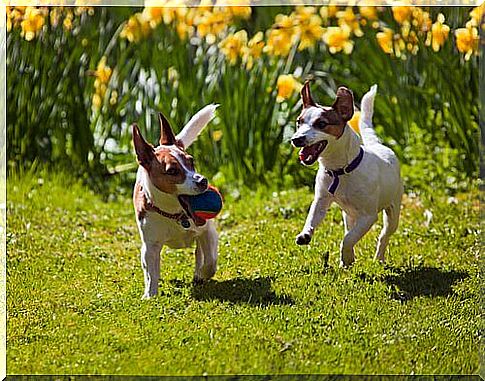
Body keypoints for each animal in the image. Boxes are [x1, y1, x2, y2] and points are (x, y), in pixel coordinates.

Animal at [130, 104, 217, 296]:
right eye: (172, 171)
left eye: (191, 162)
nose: (202, 181)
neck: (175, 214)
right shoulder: (150, 247)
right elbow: (151, 273)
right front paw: (150, 295)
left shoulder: (208, 231)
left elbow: (210, 261)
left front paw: (202, 274)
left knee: (201, 254)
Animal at [292, 82, 400, 268]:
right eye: (299, 122)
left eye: (322, 123)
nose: (296, 139)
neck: (340, 171)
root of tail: (377, 144)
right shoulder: (321, 201)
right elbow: (312, 218)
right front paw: (306, 234)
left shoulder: (368, 216)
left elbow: (348, 239)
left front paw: (347, 257)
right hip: (348, 215)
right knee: (350, 228)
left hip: (393, 213)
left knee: (383, 235)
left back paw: (379, 258)